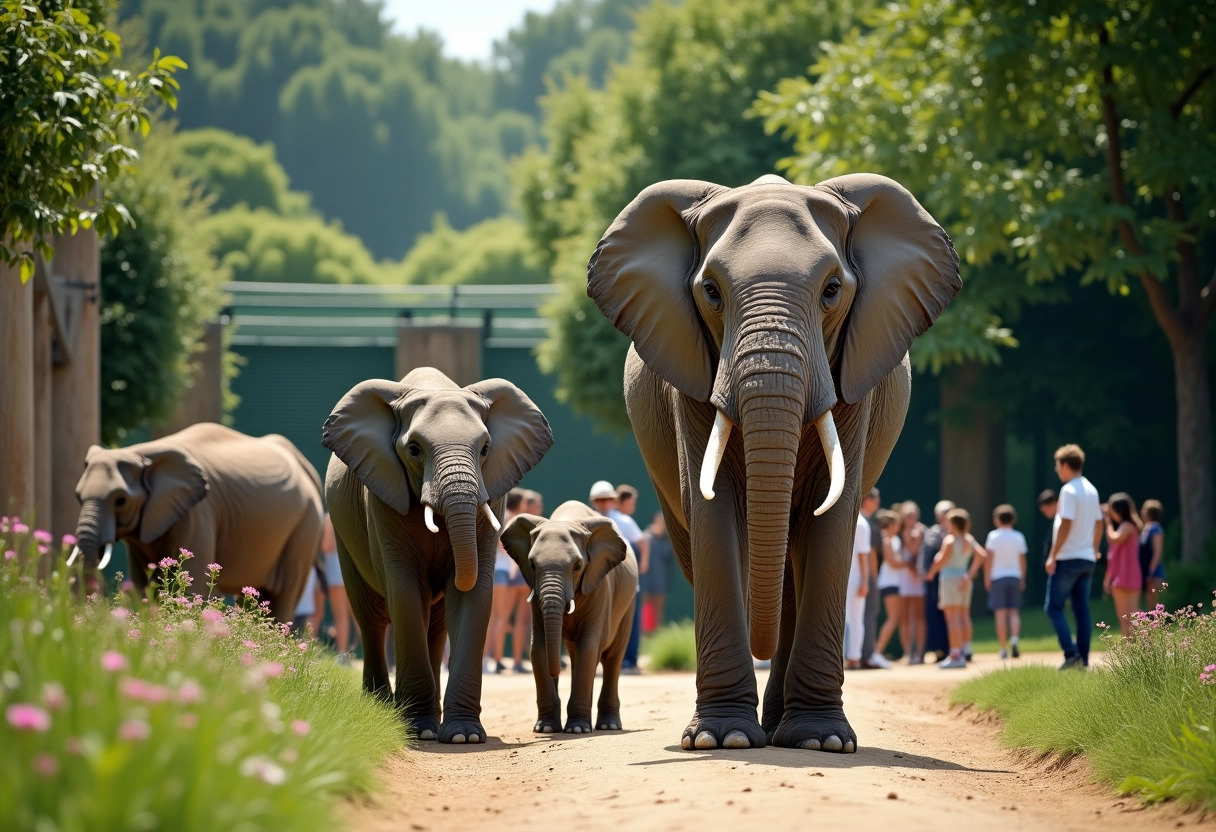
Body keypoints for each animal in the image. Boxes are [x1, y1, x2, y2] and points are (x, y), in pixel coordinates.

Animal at [72, 418, 323, 620]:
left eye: (120, 500)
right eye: (78, 497)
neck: (141, 453)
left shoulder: (199, 512)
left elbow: (192, 585)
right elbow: (145, 585)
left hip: (306, 525)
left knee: (284, 593)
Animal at [323, 367, 552, 744]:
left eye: (485, 448)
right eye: (414, 449)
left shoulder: (493, 495)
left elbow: (475, 595)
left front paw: (463, 736)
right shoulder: (383, 496)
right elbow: (404, 591)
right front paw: (418, 730)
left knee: (436, 625)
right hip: (342, 534)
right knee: (371, 618)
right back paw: (383, 708)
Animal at [500, 501, 642, 734]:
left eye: (577, 566)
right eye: (532, 565)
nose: (558, 671)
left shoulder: (599, 584)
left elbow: (589, 646)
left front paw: (576, 730)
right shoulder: (535, 591)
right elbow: (538, 647)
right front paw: (547, 728)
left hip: (629, 603)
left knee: (612, 657)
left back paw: (608, 725)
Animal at [588, 173, 958, 754]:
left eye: (832, 290)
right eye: (711, 291)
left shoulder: (853, 378)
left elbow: (831, 519)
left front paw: (823, 742)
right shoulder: (691, 375)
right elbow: (715, 515)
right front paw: (723, 738)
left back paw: (785, 728)